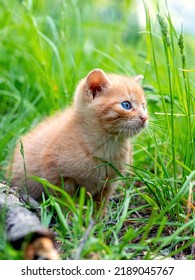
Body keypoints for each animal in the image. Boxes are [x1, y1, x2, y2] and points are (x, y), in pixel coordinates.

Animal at [8, 68, 147, 208]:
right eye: (126, 105)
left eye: (143, 106)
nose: (145, 118)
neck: (107, 145)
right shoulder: (57, 177)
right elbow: (65, 202)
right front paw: (71, 213)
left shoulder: (109, 183)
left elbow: (100, 205)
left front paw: (98, 214)